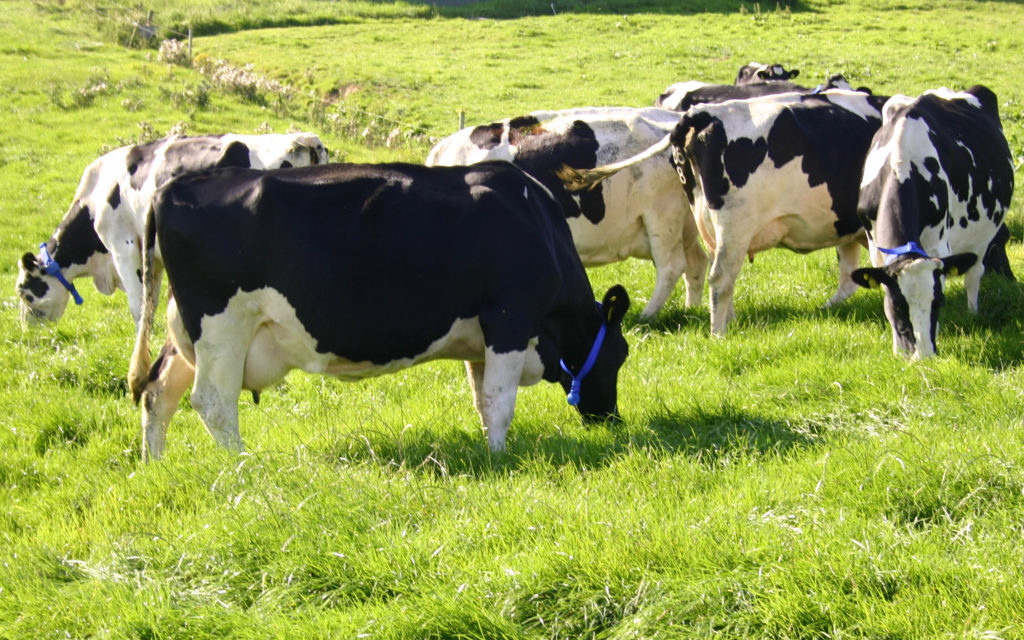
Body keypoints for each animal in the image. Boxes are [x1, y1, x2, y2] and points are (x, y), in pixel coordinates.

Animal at [16, 132, 329, 326]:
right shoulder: (152, 259)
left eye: (23, 291)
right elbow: (151, 304)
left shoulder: (123, 248)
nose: (27, 329)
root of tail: (302, 139)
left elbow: (138, 305)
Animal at [127, 161, 630, 459]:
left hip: (186, 329)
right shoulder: (509, 316)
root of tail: (174, 186)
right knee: (212, 401)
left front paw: (492, 451)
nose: (612, 420)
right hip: (222, 324)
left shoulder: (480, 338)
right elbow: (500, 401)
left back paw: (156, 463)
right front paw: (500, 457)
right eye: (621, 355)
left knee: (158, 391)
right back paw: (243, 466)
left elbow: (481, 397)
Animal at [426, 107, 707, 319]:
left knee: (672, 266)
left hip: (662, 214)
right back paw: (690, 310)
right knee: (696, 262)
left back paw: (646, 317)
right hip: (685, 221)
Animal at [560, 89, 890, 336]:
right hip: (732, 223)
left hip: (707, 221)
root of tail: (701, 115)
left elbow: (849, 271)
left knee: (714, 270)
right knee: (718, 276)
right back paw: (718, 333)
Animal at [850, 86, 1014, 359]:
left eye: (939, 302)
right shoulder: (875, 248)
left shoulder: (939, 247)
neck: (901, 164)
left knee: (974, 274)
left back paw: (973, 313)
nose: (923, 357)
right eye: (897, 305)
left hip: (982, 237)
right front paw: (898, 350)